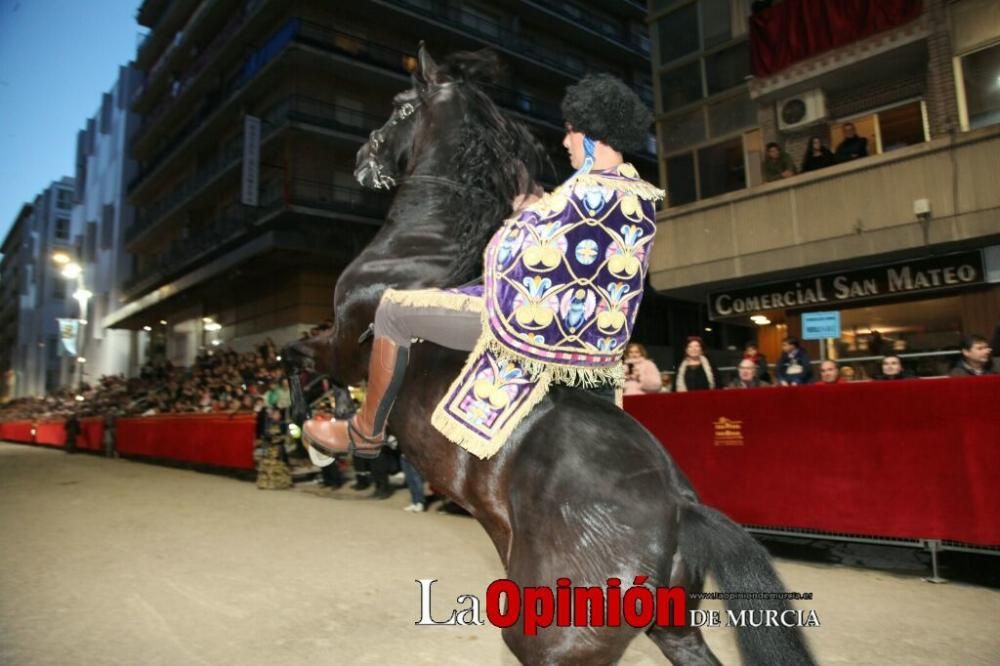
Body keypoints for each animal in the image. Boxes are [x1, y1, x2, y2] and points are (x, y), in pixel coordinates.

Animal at [286, 48, 816, 664]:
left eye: (401, 108)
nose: (361, 157)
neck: (425, 245)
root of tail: (681, 508)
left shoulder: (346, 339)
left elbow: (296, 358)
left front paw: (323, 436)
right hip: (672, 629)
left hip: (551, 639)